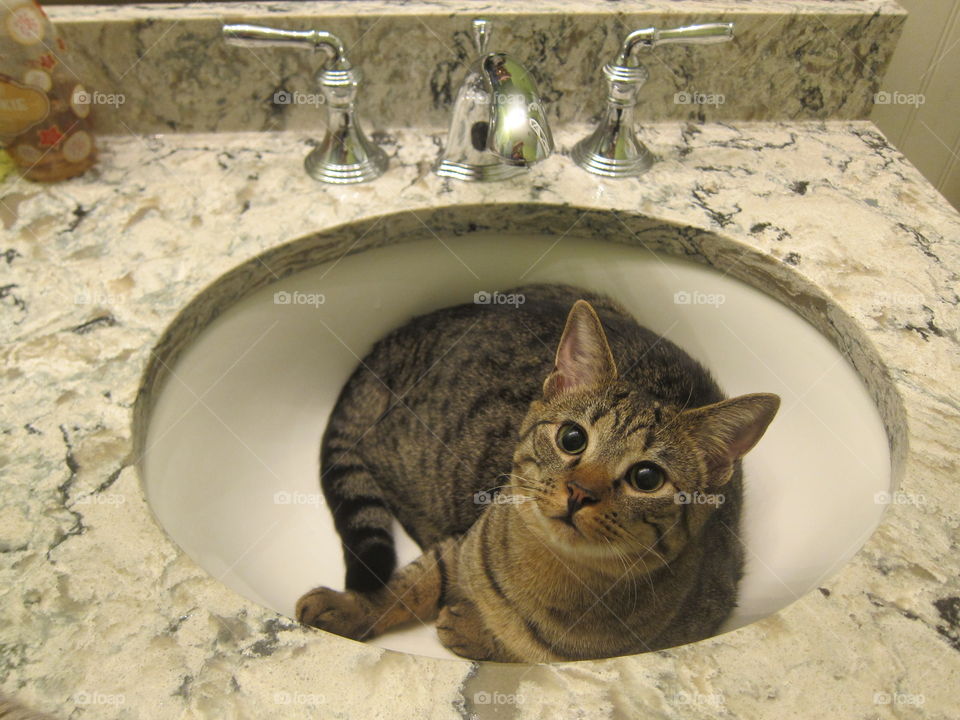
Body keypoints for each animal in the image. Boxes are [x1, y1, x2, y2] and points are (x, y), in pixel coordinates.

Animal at [300, 282, 780, 664]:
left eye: (647, 478)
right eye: (572, 438)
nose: (580, 491)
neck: (551, 571)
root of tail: (394, 341)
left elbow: (524, 648)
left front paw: (472, 629)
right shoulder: (466, 542)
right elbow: (413, 583)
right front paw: (352, 606)